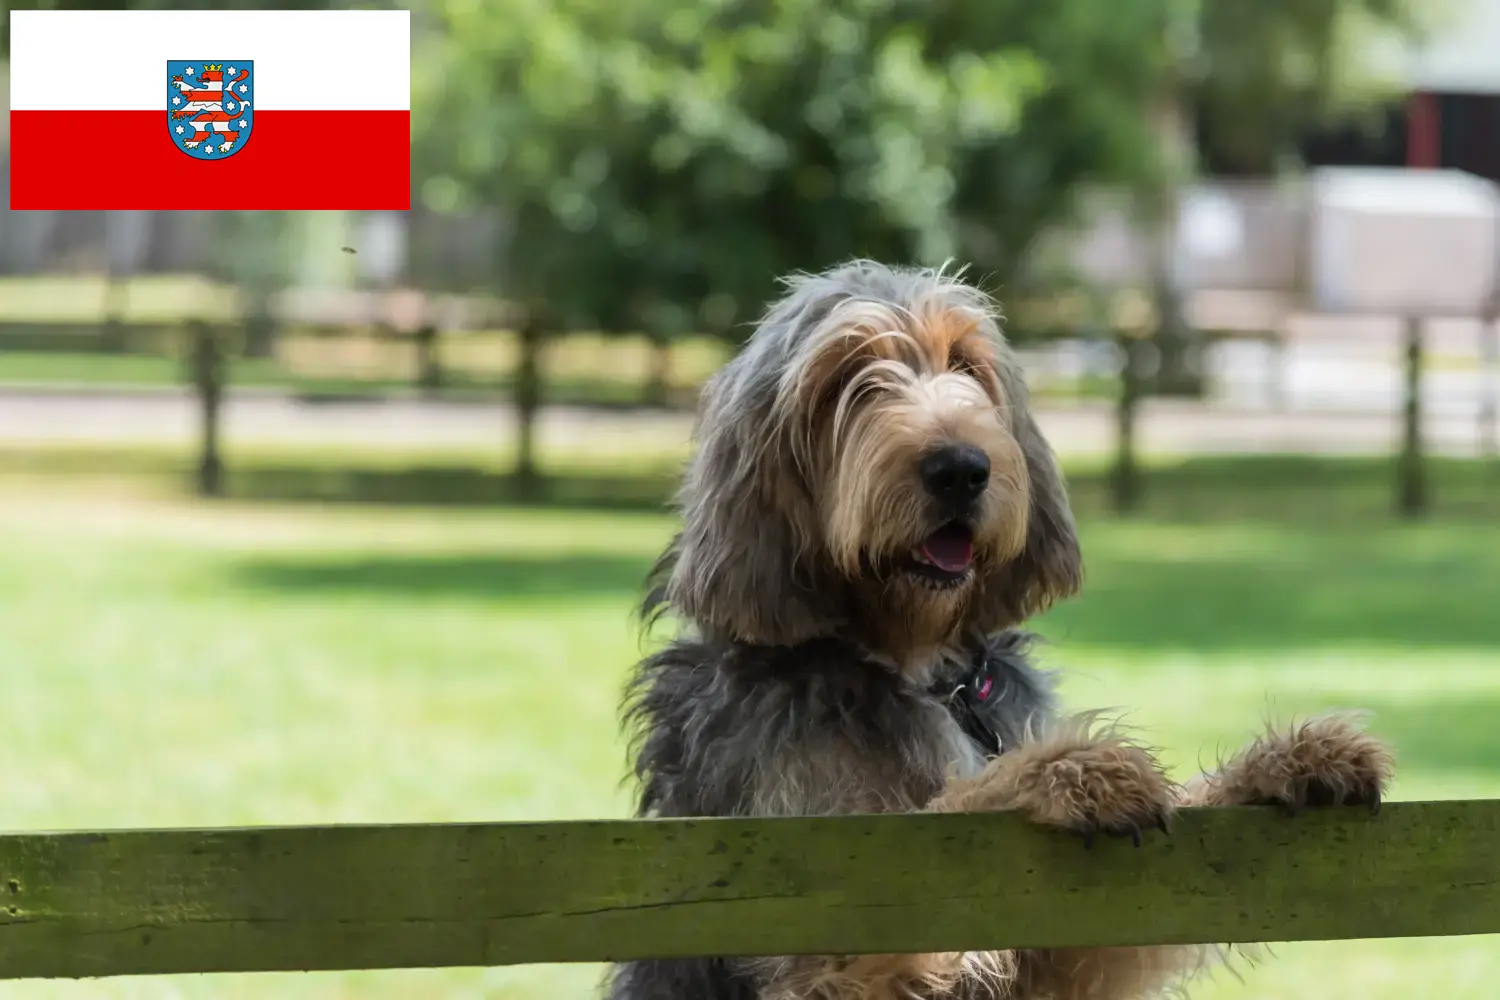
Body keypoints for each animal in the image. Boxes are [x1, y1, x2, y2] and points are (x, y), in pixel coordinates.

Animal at [606, 260, 1392, 1000]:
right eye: (846, 379)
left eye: (965, 363)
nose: (961, 468)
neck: (917, 664)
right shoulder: (822, 911)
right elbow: (948, 809)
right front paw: (1068, 771)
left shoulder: (1055, 947)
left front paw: (1287, 760)